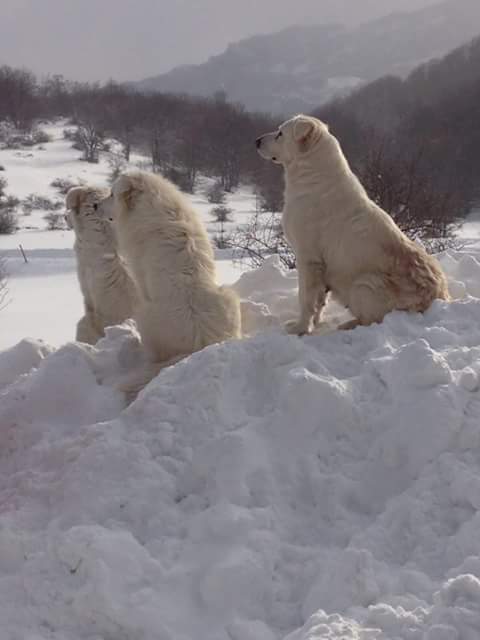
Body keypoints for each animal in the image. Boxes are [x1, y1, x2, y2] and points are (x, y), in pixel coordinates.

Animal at [256, 115, 448, 336]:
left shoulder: (308, 259)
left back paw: (347, 325)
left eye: (280, 134)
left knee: (372, 319)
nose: (257, 141)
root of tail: (440, 298)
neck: (313, 176)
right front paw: (315, 323)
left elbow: (306, 299)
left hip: (364, 285)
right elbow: (319, 301)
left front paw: (301, 328)